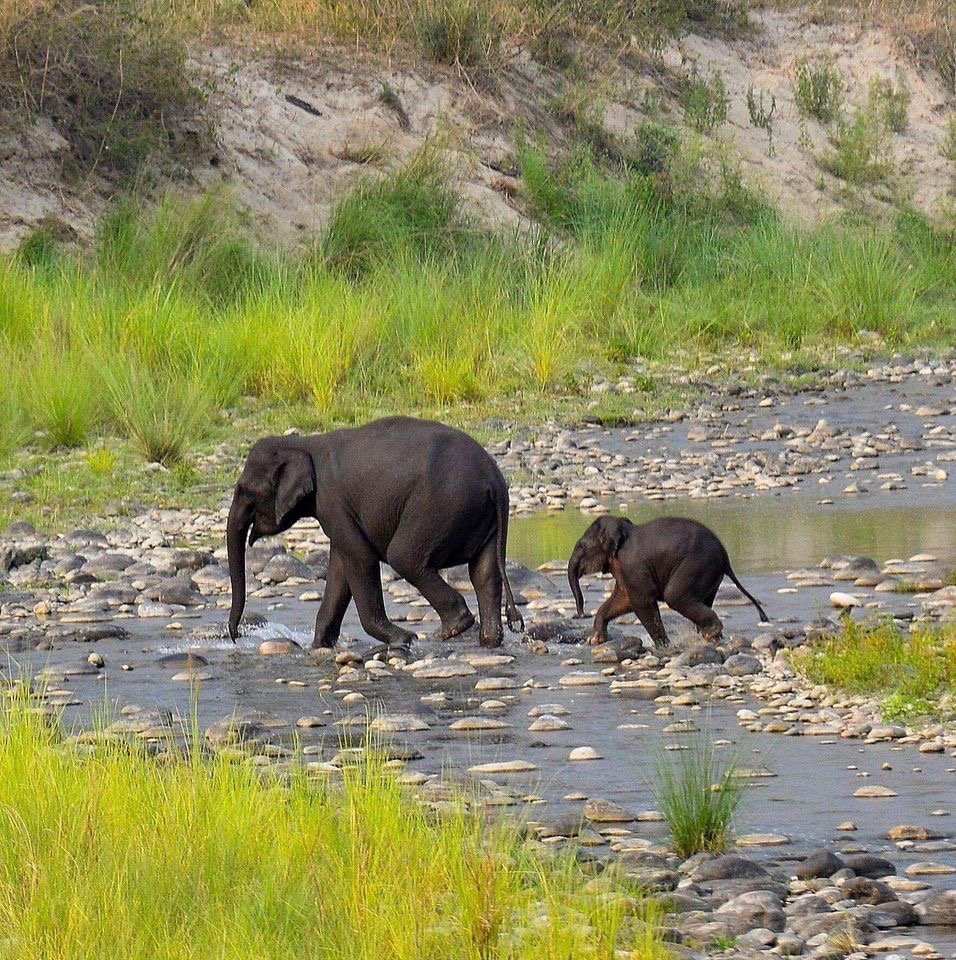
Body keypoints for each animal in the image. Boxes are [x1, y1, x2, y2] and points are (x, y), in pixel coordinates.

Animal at [227, 417, 524, 649]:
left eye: (246, 491)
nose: (236, 635)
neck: (305, 444)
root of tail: (494, 480)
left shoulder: (332, 502)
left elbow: (360, 558)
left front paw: (405, 639)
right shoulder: (338, 512)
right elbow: (340, 568)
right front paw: (319, 647)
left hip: (441, 506)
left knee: (404, 557)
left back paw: (450, 630)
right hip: (479, 516)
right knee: (484, 572)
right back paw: (489, 642)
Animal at [567, 515, 768, 647]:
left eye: (582, 546)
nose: (581, 614)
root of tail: (725, 556)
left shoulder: (633, 566)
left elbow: (641, 601)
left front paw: (663, 646)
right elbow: (623, 600)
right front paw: (595, 640)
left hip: (697, 566)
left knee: (674, 596)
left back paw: (711, 632)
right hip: (710, 575)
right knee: (703, 600)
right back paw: (712, 637)